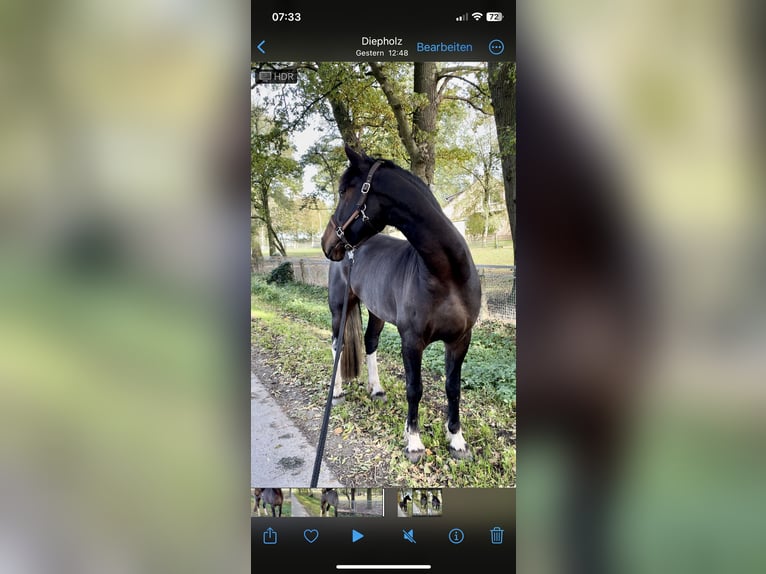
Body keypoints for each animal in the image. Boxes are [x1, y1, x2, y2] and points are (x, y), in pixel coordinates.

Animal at [321, 145, 482, 463]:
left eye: (345, 191)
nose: (326, 241)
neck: (446, 275)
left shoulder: (460, 340)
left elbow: (453, 387)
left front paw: (457, 440)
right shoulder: (411, 340)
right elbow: (414, 388)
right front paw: (414, 442)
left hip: (376, 312)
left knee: (370, 342)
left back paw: (377, 390)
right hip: (339, 308)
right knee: (337, 345)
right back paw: (338, 393)